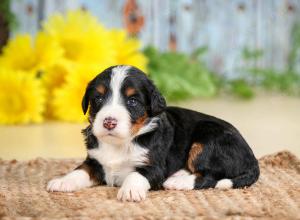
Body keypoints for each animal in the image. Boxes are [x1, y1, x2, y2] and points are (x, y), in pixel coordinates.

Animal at [46, 65, 258, 201]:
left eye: (132, 101)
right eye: (98, 98)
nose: (109, 122)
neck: (121, 143)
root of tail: (252, 158)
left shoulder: (154, 166)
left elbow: (136, 175)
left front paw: (130, 191)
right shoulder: (95, 160)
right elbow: (80, 170)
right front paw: (62, 182)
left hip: (207, 140)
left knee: (210, 176)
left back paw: (177, 182)